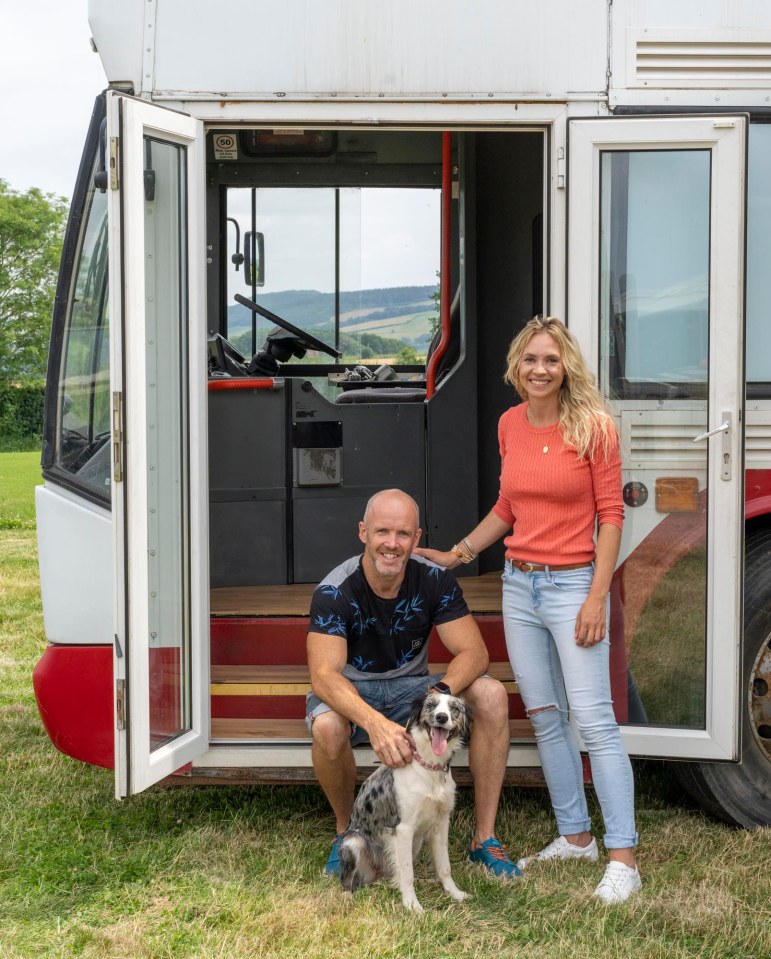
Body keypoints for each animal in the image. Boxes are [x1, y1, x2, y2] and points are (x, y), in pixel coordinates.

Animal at [340, 692, 474, 912]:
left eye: (454, 708)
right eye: (431, 705)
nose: (441, 718)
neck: (430, 768)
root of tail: (379, 875)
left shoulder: (441, 823)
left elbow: (444, 867)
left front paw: (454, 893)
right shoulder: (403, 828)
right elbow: (407, 873)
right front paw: (412, 905)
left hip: (416, 842)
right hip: (353, 842)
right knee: (349, 880)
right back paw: (346, 896)